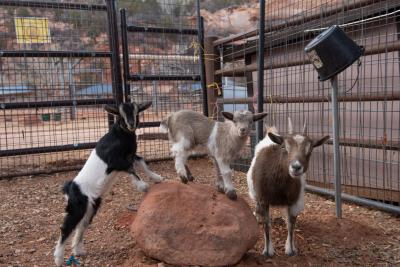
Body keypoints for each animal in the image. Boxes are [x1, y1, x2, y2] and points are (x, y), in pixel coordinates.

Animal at [53, 101, 162, 266]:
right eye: (120, 114)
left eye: (136, 111)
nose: (131, 124)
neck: (120, 135)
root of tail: (70, 187)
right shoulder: (116, 161)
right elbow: (131, 168)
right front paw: (142, 186)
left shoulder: (130, 155)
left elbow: (142, 162)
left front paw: (157, 178)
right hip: (77, 207)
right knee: (66, 227)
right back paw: (59, 259)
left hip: (91, 207)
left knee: (82, 225)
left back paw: (78, 250)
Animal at [247, 119, 328, 258]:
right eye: (284, 147)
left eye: (310, 150)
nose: (296, 167)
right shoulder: (263, 200)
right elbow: (266, 225)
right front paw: (268, 251)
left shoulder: (294, 201)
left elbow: (291, 225)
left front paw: (290, 249)